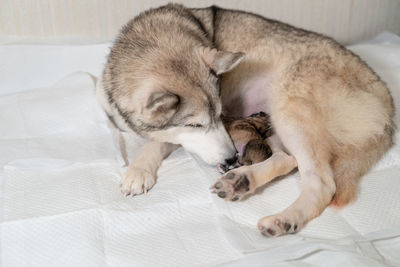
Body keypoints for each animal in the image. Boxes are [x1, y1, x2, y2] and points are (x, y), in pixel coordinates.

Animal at [97, 4, 394, 238]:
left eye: (219, 113)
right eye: (195, 125)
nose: (230, 159)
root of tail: (385, 97)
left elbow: (156, 141)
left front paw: (137, 170)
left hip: (289, 106)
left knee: (321, 182)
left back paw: (284, 218)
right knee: (286, 159)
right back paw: (241, 181)